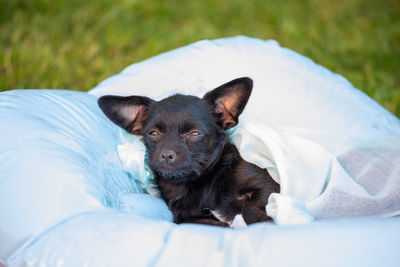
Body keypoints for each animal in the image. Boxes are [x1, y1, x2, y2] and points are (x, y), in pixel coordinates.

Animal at [98, 78, 280, 228]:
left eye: (195, 133)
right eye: (153, 133)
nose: (166, 155)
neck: (201, 182)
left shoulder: (267, 188)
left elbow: (250, 209)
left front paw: (262, 223)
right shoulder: (186, 219)